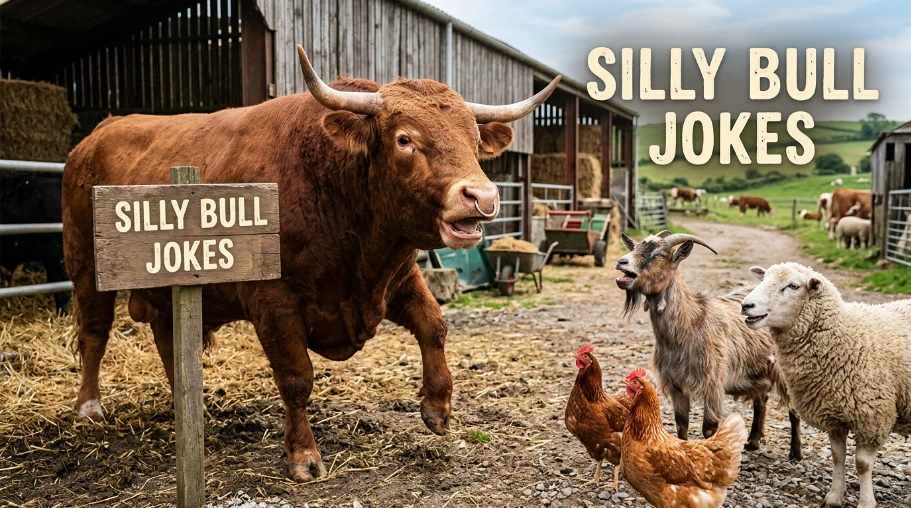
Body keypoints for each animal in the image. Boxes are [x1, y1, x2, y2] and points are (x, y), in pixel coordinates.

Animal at [61, 46, 560, 481]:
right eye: (405, 139)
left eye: (474, 141)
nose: (483, 196)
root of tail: (99, 133)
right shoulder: (273, 302)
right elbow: (296, 378)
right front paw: (302, 456)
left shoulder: (396, 277)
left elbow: (433, 325)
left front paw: (437, 407)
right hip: (84, 266)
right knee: (95, 333)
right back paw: (88, 408)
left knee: (170, 345)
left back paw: (194, 409)